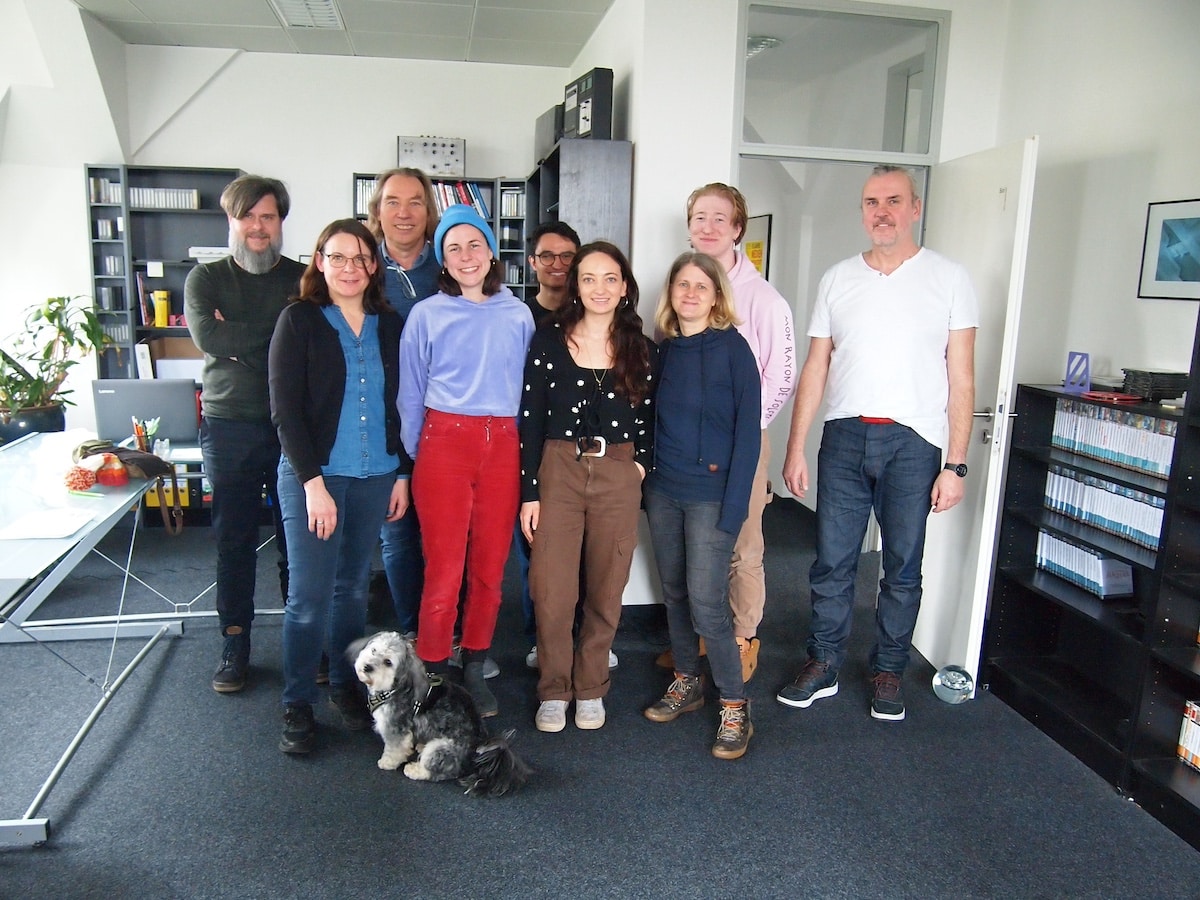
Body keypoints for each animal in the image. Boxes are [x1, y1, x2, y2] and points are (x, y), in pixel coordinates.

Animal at [350, 628, 532, 801]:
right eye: (373, 650)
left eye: (388, 662)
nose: (367, 667)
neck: (394, 687)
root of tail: (476, 751)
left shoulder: (396, 727)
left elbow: (394, 748)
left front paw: (387, 762)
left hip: (440, 747)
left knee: (437, 771)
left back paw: (415, 769)